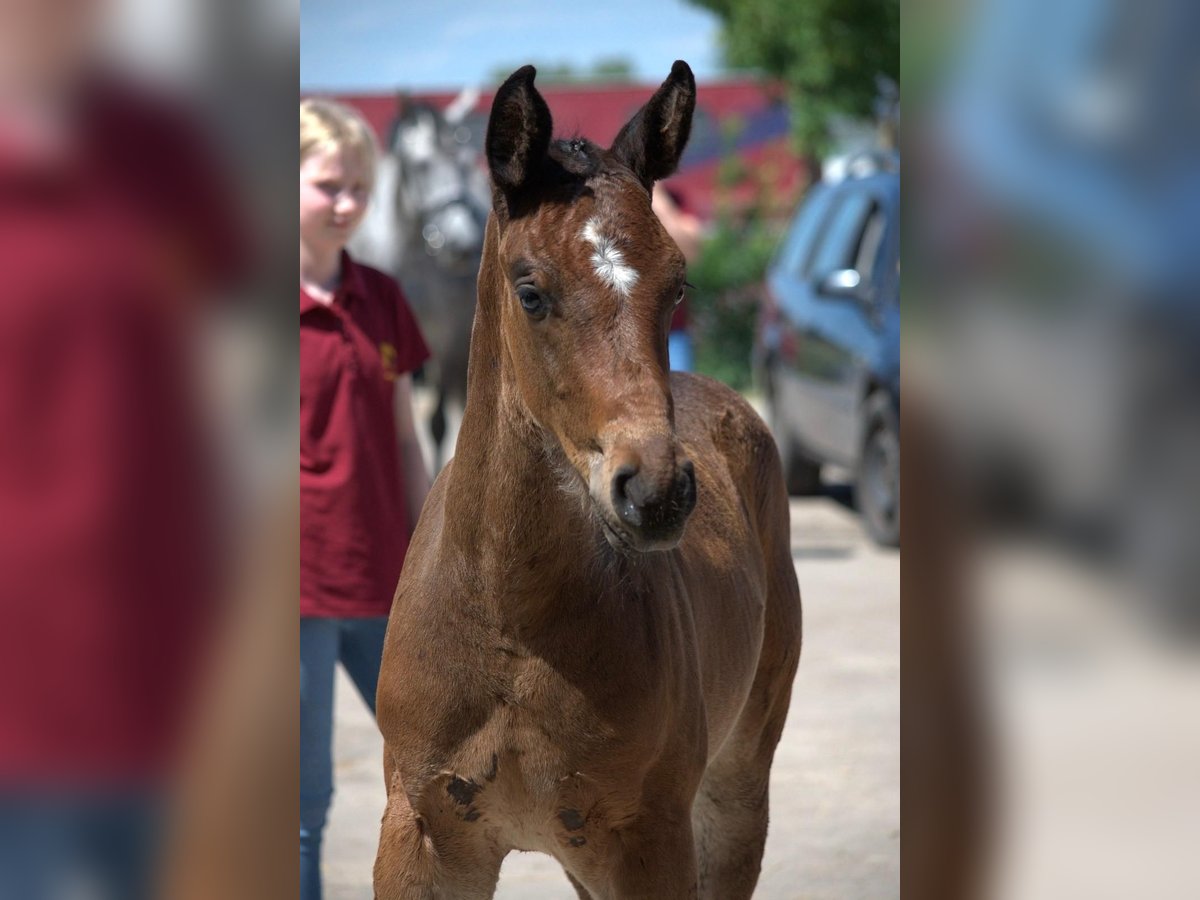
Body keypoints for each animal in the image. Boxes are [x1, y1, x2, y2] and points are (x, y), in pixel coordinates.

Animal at [372, 63, 806, 900]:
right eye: (530, 289)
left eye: (678, 284)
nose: (657, 490)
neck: (511, 625)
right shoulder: (421, 833)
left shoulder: (650, 840)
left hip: (737, 786)